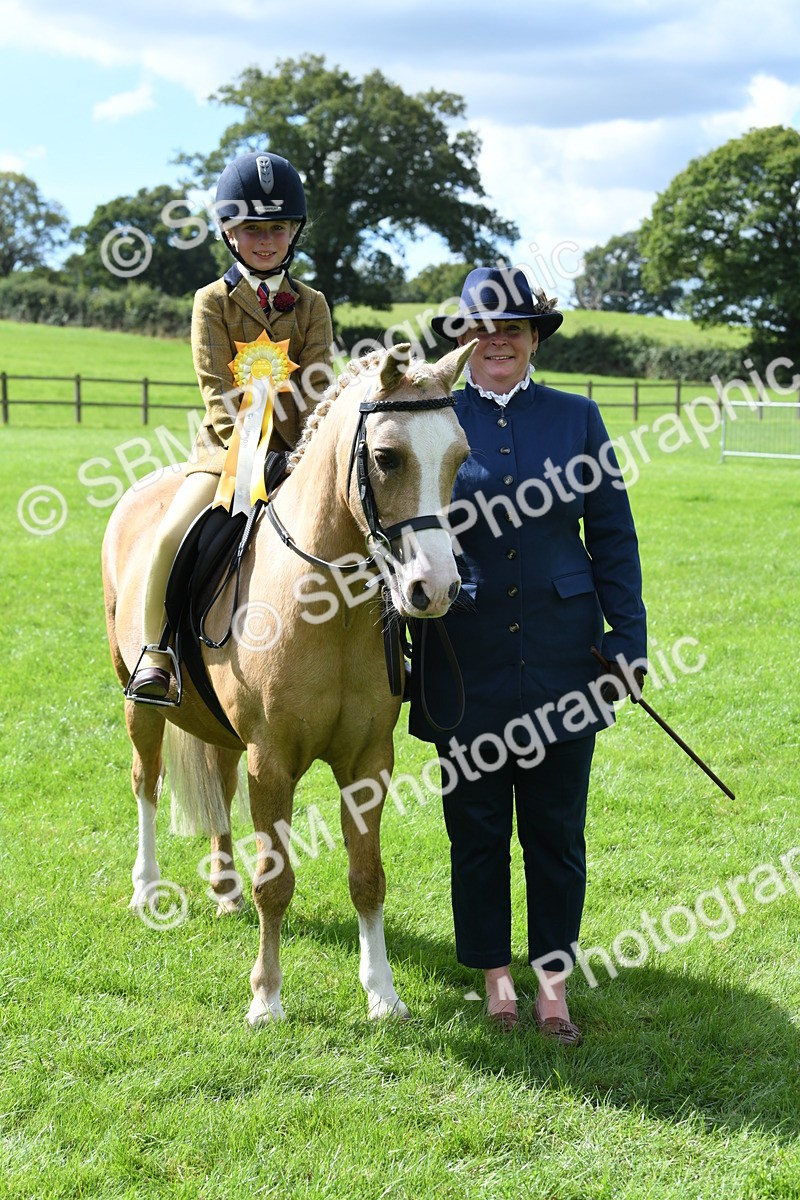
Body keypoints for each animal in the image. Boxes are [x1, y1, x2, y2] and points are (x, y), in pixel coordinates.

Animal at [102, 340, 474, 1026]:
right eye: (387, 457)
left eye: (460, 457)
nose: (435, 590)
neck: (329, 606)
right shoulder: (271, 761)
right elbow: (274, 882)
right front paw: (266, 998)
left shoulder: (367, 761)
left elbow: (368, 876)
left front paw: (383, 994)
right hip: (140, 701)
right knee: (147, 780)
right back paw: (146, 889)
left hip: (220, 728)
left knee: (218, 784)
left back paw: (223, 889)